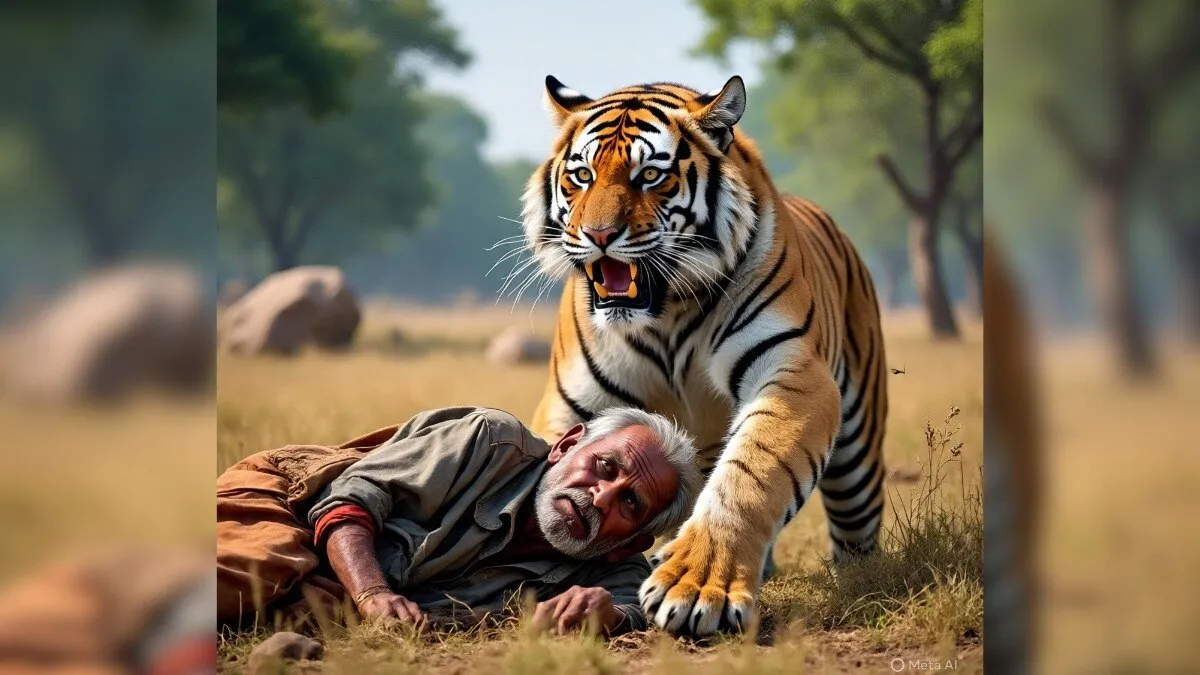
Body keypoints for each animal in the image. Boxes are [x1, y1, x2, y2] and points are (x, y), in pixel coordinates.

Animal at [517, 75, 889, 637]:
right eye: (581, 176)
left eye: (650, 176)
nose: (598, 235)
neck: (665, 312)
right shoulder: (569, 402)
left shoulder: (794, 373)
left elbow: (749, 476)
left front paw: (695, 588)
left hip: (858, 461)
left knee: (857, 534)